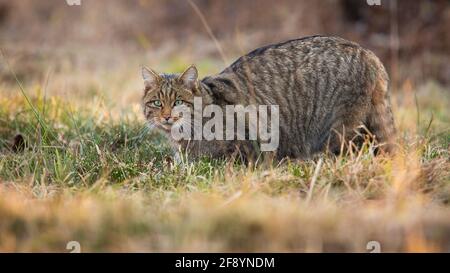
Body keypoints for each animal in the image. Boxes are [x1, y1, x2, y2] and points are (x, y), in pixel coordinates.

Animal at [141, 35, 394, 160]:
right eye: (157, 103)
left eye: (177, 102)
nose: (166, 117)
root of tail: (367, 52)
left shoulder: (247, 143)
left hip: (336, 127)